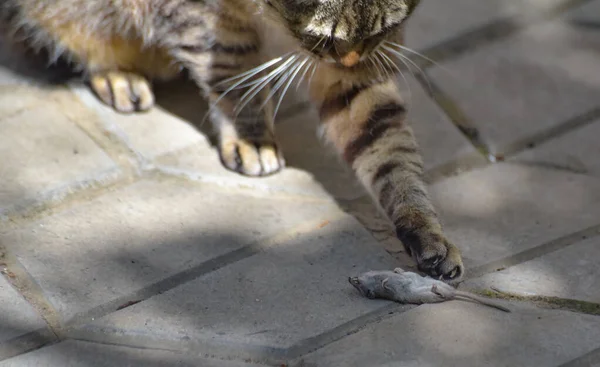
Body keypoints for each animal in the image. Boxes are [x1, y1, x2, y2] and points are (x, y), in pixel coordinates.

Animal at [1, 0, 464, 282]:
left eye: (383, 30)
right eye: (325, 38)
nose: (349, 58)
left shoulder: (363, 73)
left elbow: (388, 151)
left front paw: (423, 226)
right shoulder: (208, 23)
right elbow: (234, 76)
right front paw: (249, 137)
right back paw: (117, 74)